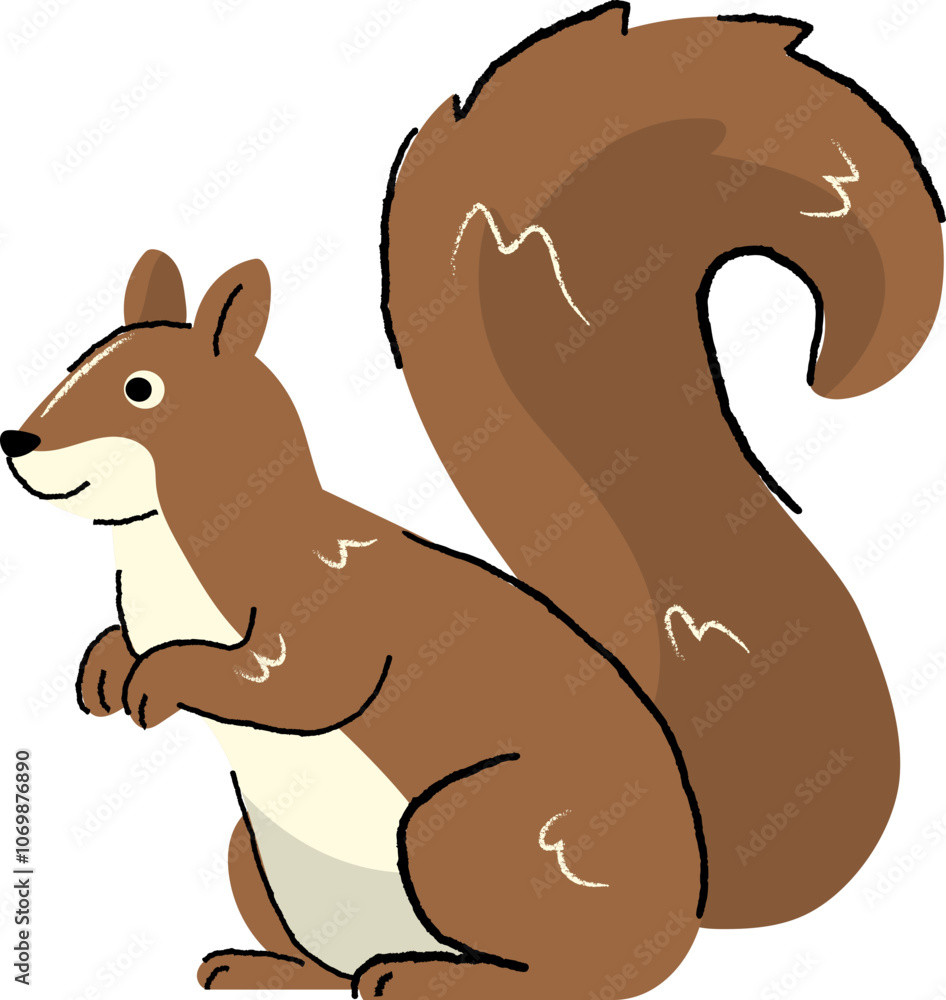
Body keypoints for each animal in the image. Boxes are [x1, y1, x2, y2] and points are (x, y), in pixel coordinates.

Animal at [3, 4, 943, 999]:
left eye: (142, 390)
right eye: (76, 360)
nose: (16, 443)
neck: (168, 550)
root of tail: (684, 904)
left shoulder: (327, 605)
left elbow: (292, 681)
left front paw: (162, 677)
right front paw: (104, 668)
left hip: (467, 829)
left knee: (582, 974)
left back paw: (428, 978)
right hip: (253, 855)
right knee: (330, 959)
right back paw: (264, 967)